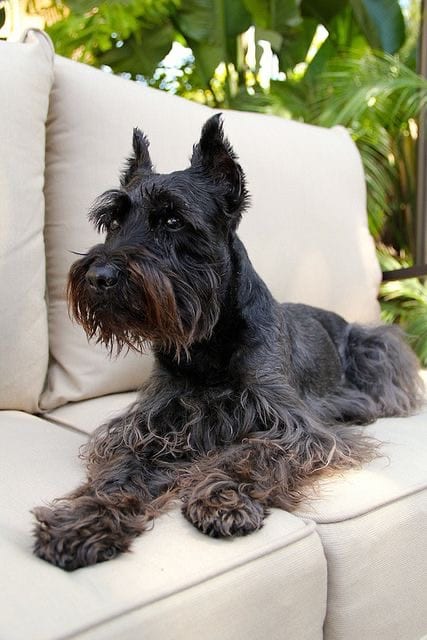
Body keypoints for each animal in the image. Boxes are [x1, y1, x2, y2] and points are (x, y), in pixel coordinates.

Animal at [32, 114, 422, 568]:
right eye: (112, 221)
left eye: (172, 220)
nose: (99, 277)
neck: (207, 343)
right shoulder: (153, 425)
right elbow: (124, 470)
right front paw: (83, 519)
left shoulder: (293, 428)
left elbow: (251, 454)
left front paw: (223, 499)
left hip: (374, 344)